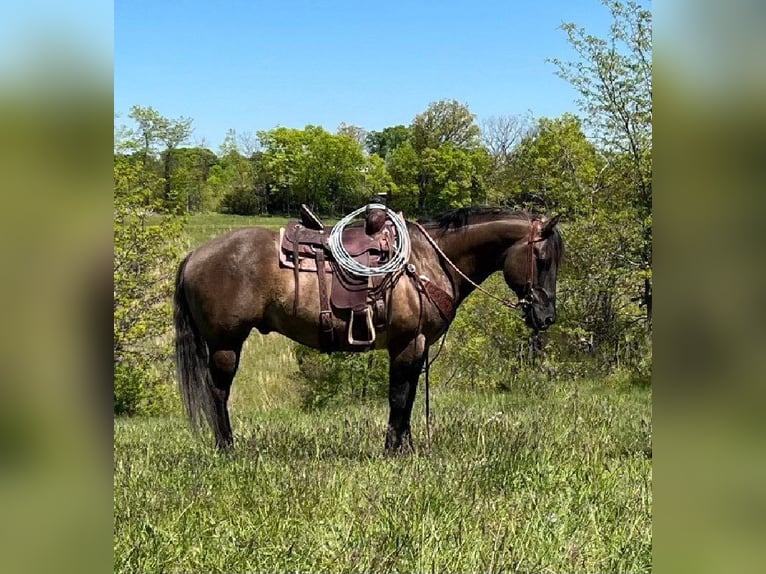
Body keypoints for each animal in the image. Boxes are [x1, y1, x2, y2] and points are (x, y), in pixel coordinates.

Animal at [177, 207, 568, 454]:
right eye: (543, 260)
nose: (546, 316)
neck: (428, 261)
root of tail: (195, 255)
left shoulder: (417, 347)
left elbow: (408, 398)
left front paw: (406, 447)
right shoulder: (407, 344)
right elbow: (398, 397)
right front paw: (392, 450)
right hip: (226, 344)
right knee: (218, 393)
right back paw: (227, 448)